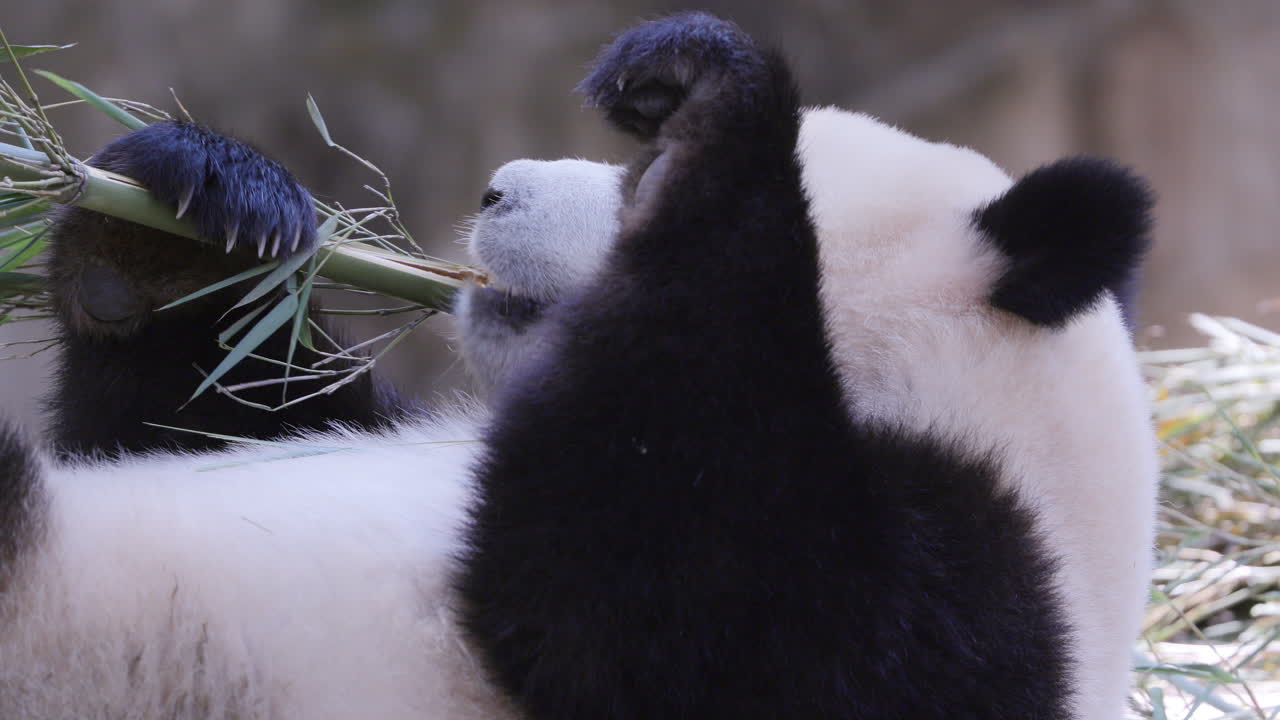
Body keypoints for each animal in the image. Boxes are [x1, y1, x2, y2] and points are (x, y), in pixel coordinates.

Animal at [0, 12, 1156, 720]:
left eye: (635, 175)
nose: (497, 188)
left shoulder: (967, 603)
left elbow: (649, 588)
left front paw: (712, 92)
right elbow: (194, 411)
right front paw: (185, 220)